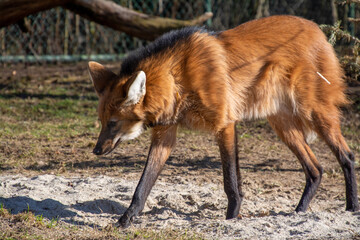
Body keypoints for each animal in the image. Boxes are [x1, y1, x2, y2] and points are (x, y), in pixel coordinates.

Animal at [88, 15, 360, 227]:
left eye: (113, 123)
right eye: (102, 121)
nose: (96, 150)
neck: (178, 79)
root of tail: (319, 31)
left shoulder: (225, 124)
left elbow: (230, 181)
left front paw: (231, 217)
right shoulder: (165, 133)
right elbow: (142, 185)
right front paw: (126, 219)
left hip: (314, 112)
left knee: (347, 156)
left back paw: (351, 207)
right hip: (282, 124)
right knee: (315, 169)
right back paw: (298, 213)